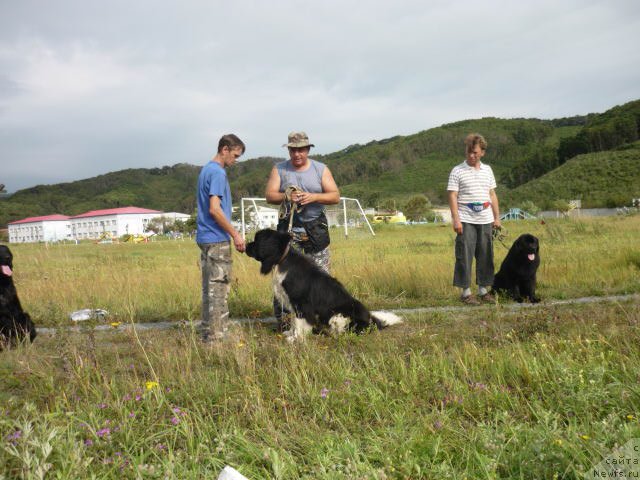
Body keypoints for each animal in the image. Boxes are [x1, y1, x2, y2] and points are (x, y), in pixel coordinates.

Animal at [245, 229, 400, 342]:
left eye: (257, 240)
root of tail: (372, 320)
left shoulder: (301, 303)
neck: (282, 260)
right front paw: (290, 333)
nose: (245, 245)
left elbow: (299, 322)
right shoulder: (292, 302)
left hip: (338, 315)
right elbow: (294, 321)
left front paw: (296, 338)